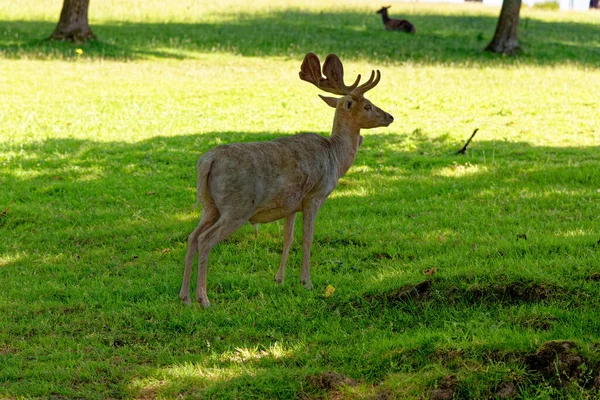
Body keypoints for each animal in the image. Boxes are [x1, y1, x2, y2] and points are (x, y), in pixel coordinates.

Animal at [178, 53, 394, 308]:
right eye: (368, 105)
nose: (390, 116)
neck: (336, 157)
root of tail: (207, 161)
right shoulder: (315, 196)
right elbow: (307, 238)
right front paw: (307, 282)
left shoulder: (291, 204)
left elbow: (287, 239)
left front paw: (279, 279)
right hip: (237, 206)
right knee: (205, 239)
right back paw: (203, 299)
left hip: (210, 205)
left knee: (192, 237)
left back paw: (185, 296)